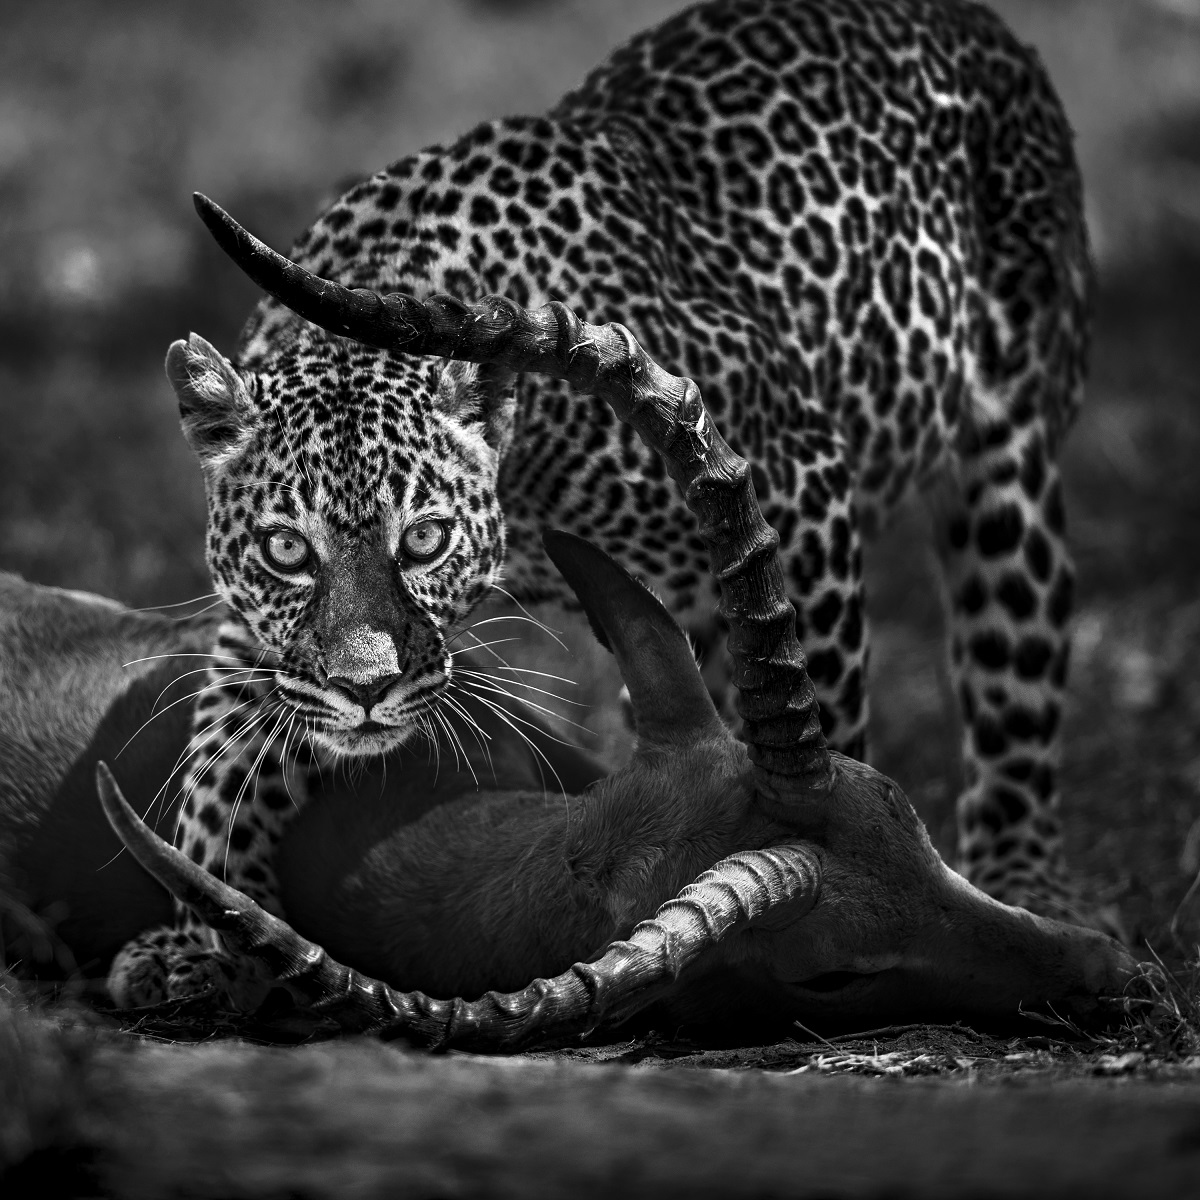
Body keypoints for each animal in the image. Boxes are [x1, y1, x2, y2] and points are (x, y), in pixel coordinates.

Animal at [110, 0, 1099, 1012]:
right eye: (285, 550)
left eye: (424, 540)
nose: (366, 691)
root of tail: (973, 22)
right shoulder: (255, 632)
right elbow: (218, 766)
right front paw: (196, 943)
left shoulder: (803, 486)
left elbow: (830, 703)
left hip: (1010, 465)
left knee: (1013, 685)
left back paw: (1026, 883)